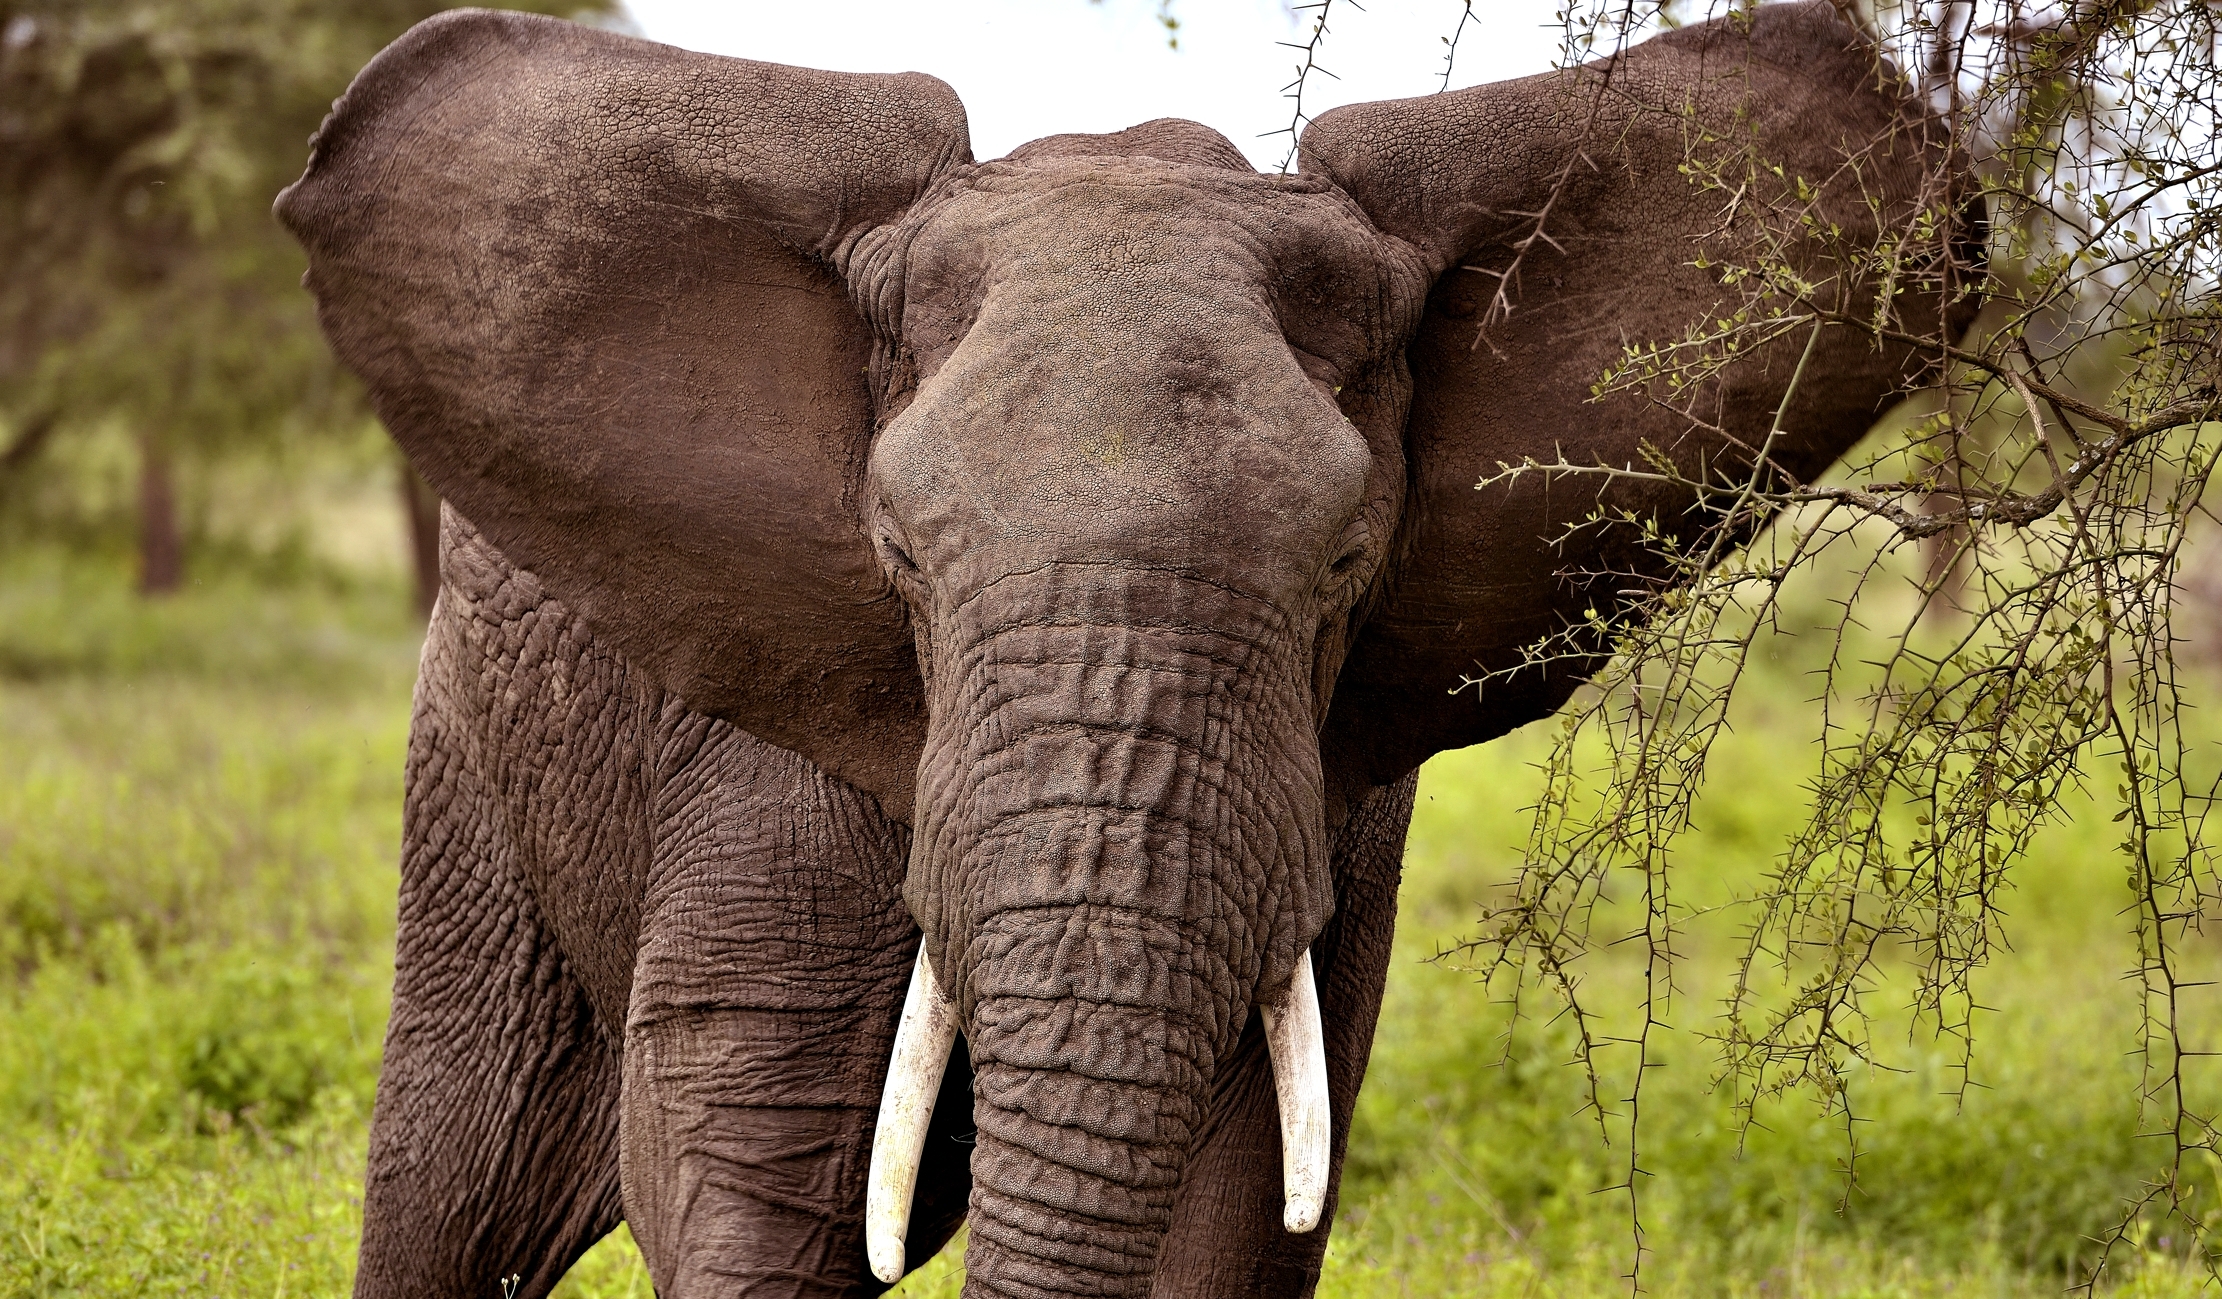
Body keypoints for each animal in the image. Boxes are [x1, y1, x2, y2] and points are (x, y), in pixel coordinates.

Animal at [275, 4, 1977, 1296]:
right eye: (898, 557)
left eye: (1342, 567)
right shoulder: (764, 735)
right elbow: (755, 1174)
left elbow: (1242, 1197)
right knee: (455, 1179)